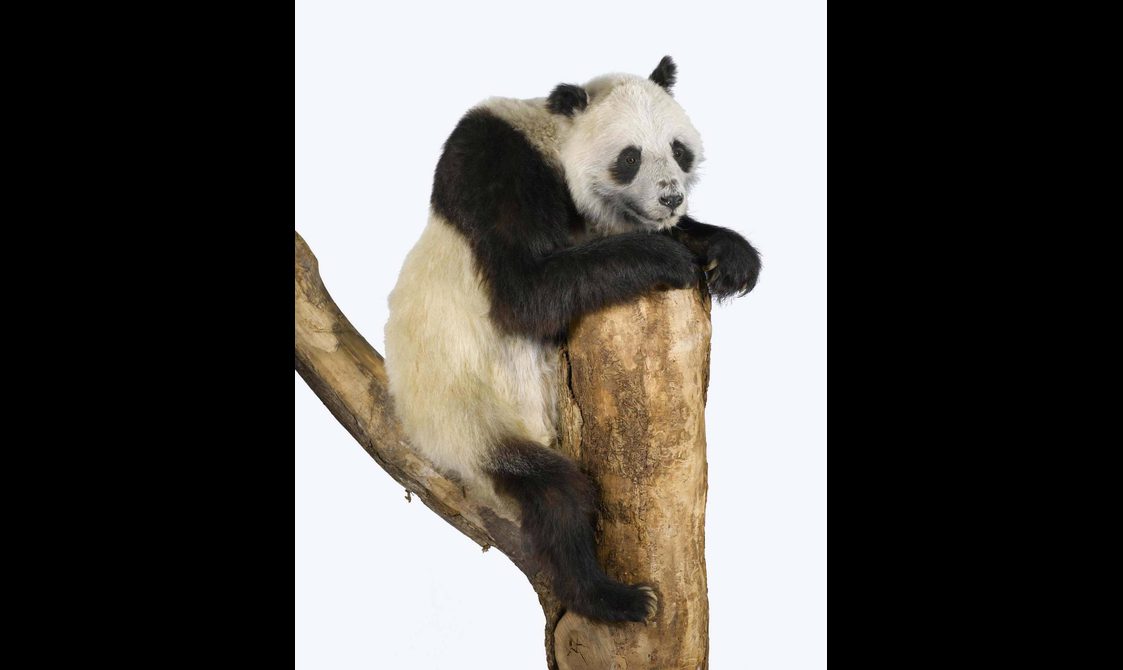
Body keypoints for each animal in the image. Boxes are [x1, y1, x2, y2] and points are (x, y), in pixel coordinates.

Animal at [384, 56, 760, 623]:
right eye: (629, 157)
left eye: (678, 148)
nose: (671, 196)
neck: (553, 138)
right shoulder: (493, 166)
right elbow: (526, 294)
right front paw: (667, 258)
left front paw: (728, 256)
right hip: (465, 420)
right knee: (555, 495)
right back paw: (613, 597)